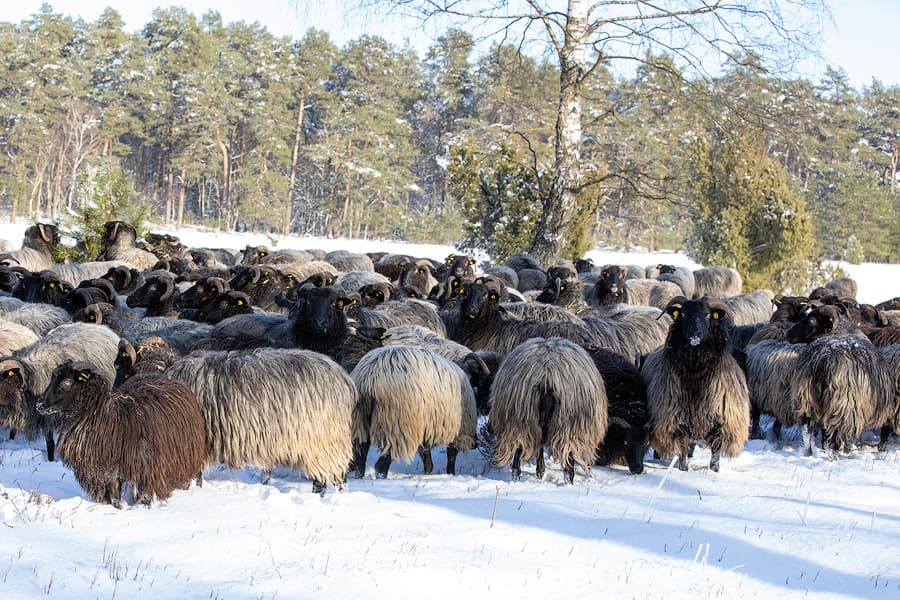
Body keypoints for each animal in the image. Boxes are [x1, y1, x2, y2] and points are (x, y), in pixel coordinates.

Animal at [36, 358, 205, 508]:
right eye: (52, 378)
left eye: (66, 383)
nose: (39, 404)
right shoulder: (102, 473)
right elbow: (113, 500)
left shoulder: (144, 469)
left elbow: (141, 498)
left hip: (189, 451)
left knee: (197, 474)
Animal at [350, 346, 478, 478]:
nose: (476, 443)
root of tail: (370, 378)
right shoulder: (459, 430)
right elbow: (451, 455)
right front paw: (450, 474)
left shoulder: (425, 430)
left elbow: (427, 458)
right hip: (396, 426)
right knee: (380, 465)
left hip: (359, 422)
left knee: (359, 462)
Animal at [488, 336, 608, 486]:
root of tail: (547, 376)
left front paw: (540, 472)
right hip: (568, 427)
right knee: (568, 465)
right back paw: (568, 483)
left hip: (520, 420)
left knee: (518, 456)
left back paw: (519, 478)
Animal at [640, 298, 752, 472]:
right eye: (683, 314)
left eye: (707, 315)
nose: (694, 334)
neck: (696, 372)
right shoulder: (676, 419)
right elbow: (682, 449)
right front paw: (683, 469)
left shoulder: (721, 421)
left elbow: (715, 452)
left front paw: (714, 470)